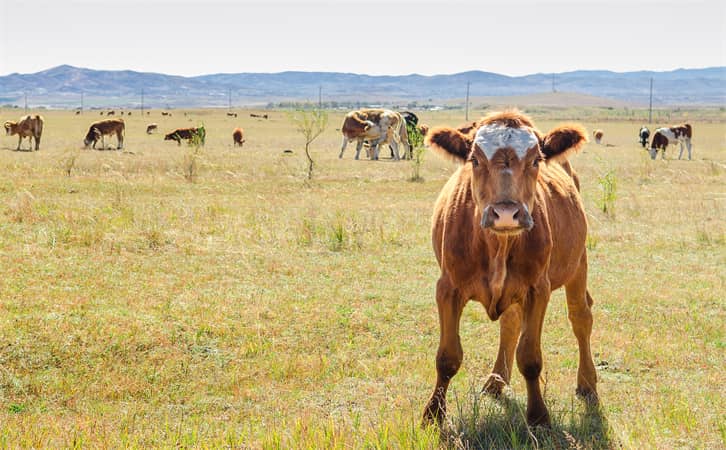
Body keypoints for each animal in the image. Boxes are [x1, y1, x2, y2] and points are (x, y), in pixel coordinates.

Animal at [424, 110, 600, 428]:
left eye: (536, 160)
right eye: (474, 160)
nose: (506, 213)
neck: (497, 246)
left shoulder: (538, 289)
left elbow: (530, 357)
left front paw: (539, 416)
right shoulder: (447, 288)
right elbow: (447, 357)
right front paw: (433, 414)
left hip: (578, 262)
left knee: (581, 316)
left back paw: (587, 383)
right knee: (511, 322)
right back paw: (495, 382)